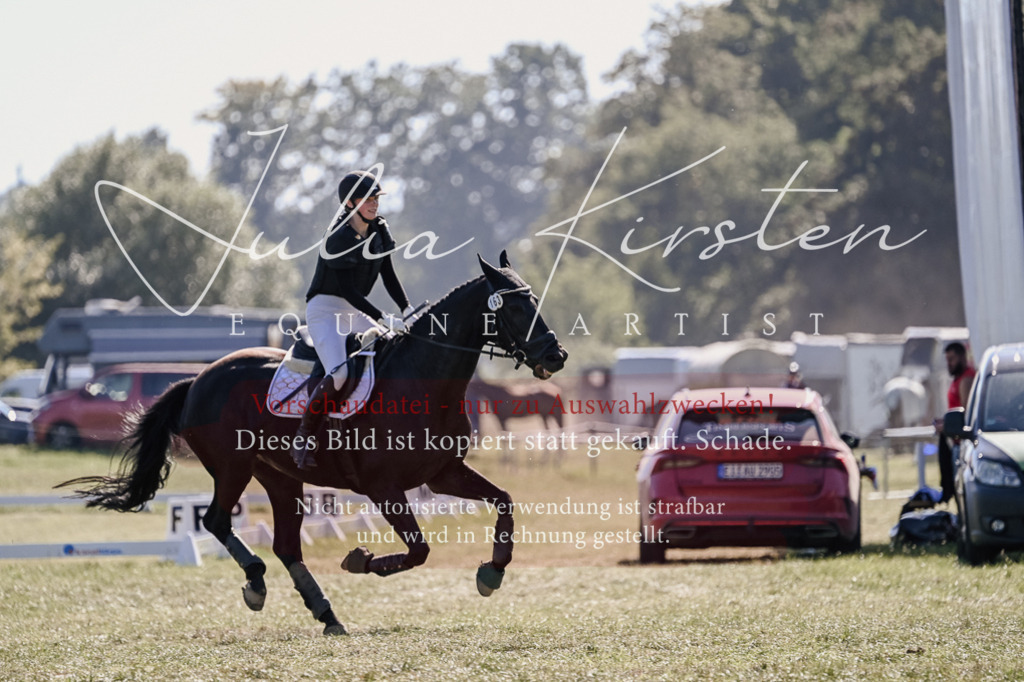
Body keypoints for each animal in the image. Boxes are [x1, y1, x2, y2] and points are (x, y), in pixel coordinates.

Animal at [58, 252, 568, 636]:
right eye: (514, 309)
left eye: (535, 302)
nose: (556, 355)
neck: (423, 381)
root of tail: (198, 378)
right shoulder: (383, 488)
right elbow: (419, 551)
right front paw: (361, 561)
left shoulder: (442, 474)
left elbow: (503, 501)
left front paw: (492, 571)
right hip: (232, 467)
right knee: (217, 521)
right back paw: (257, 584)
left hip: (279, 477)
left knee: (286, 546)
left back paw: (326, 614)